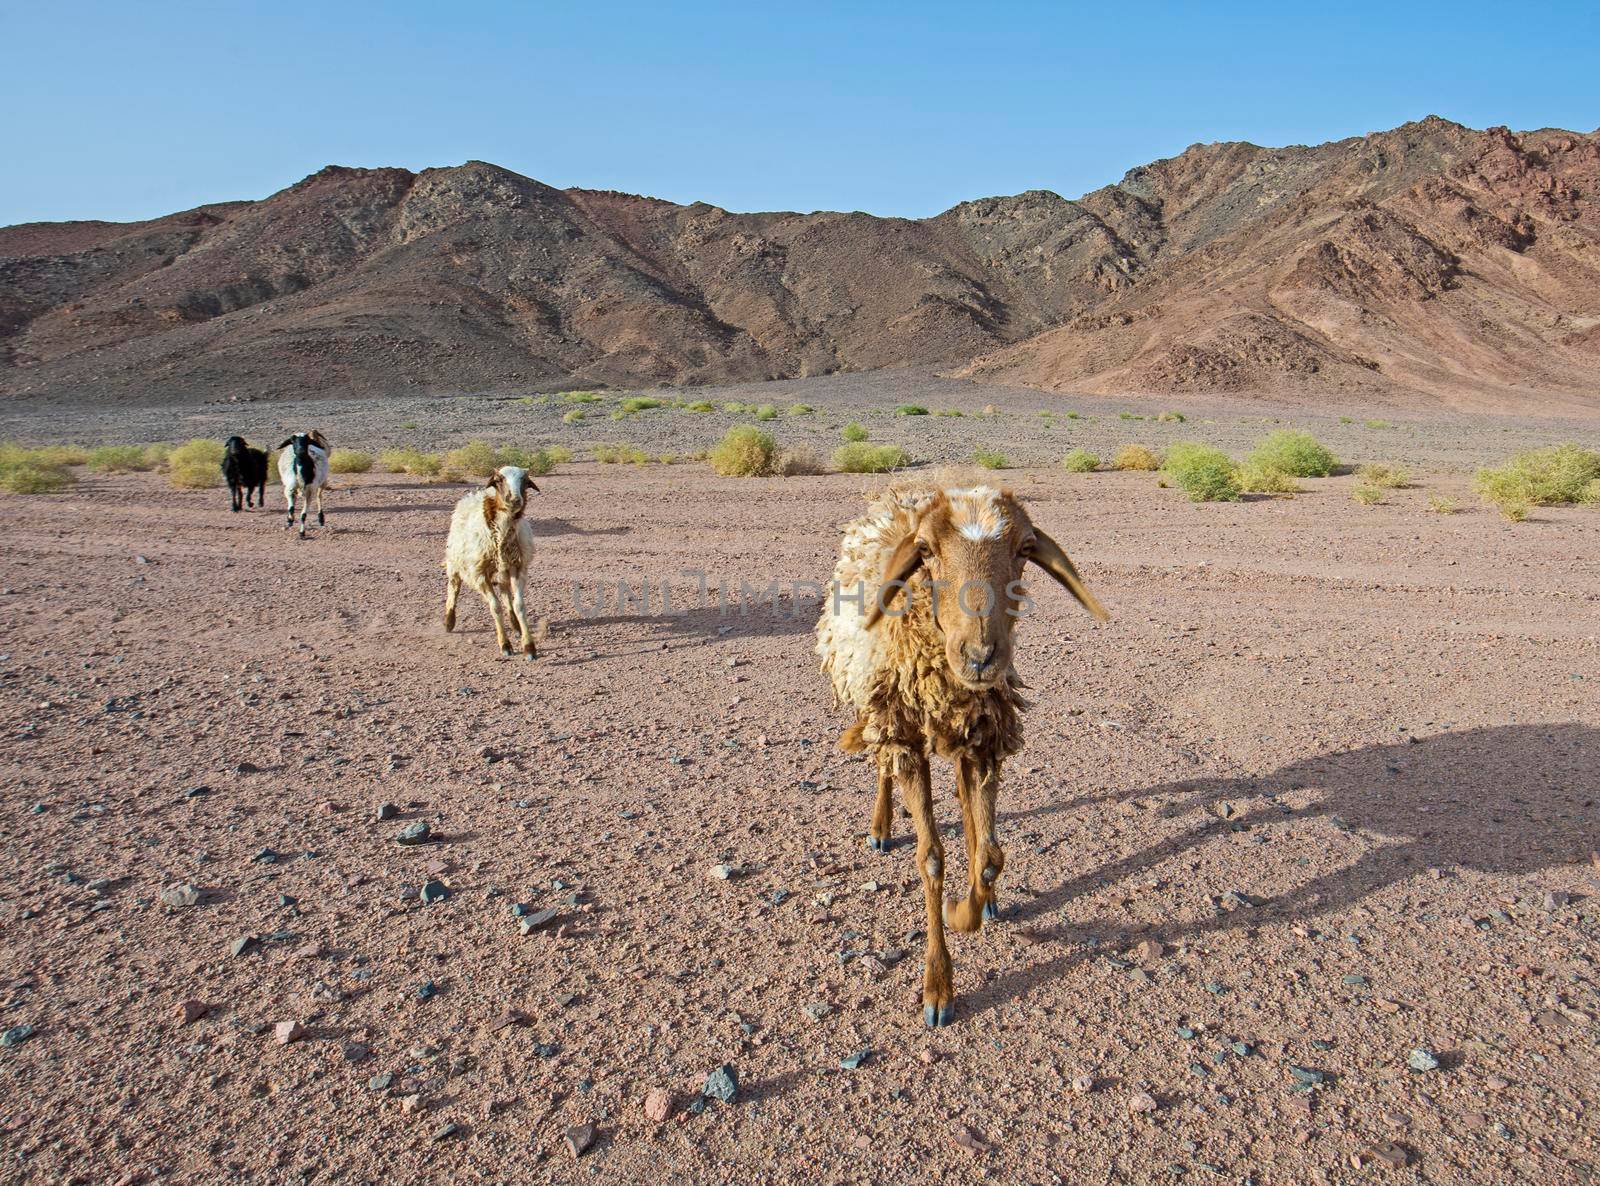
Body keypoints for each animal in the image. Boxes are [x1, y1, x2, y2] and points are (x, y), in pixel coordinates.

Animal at [444, 464, 544, 656]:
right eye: (499, 480)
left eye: (525, 481)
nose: (514, 500)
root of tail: (476, 494)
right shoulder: (480, 574)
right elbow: (495, 607)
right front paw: (505, 645)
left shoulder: (518, 567)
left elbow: (519, 605)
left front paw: (528, 646)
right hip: (455, 560)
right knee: (454, 587)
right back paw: (449, 621)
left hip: (503, 569)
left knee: (505, 593)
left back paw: (515, 625)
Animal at [819, 480, 1107, 1024]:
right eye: (925, 549)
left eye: (1025, 549)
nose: (979, 656)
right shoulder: (908, 740)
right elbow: (931, 858)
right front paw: (938, 985)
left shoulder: (984, 740)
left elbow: (992, 854)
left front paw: (970, 905)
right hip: (880, 709)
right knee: (882, 762)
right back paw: (881, 826)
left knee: (968, 807)